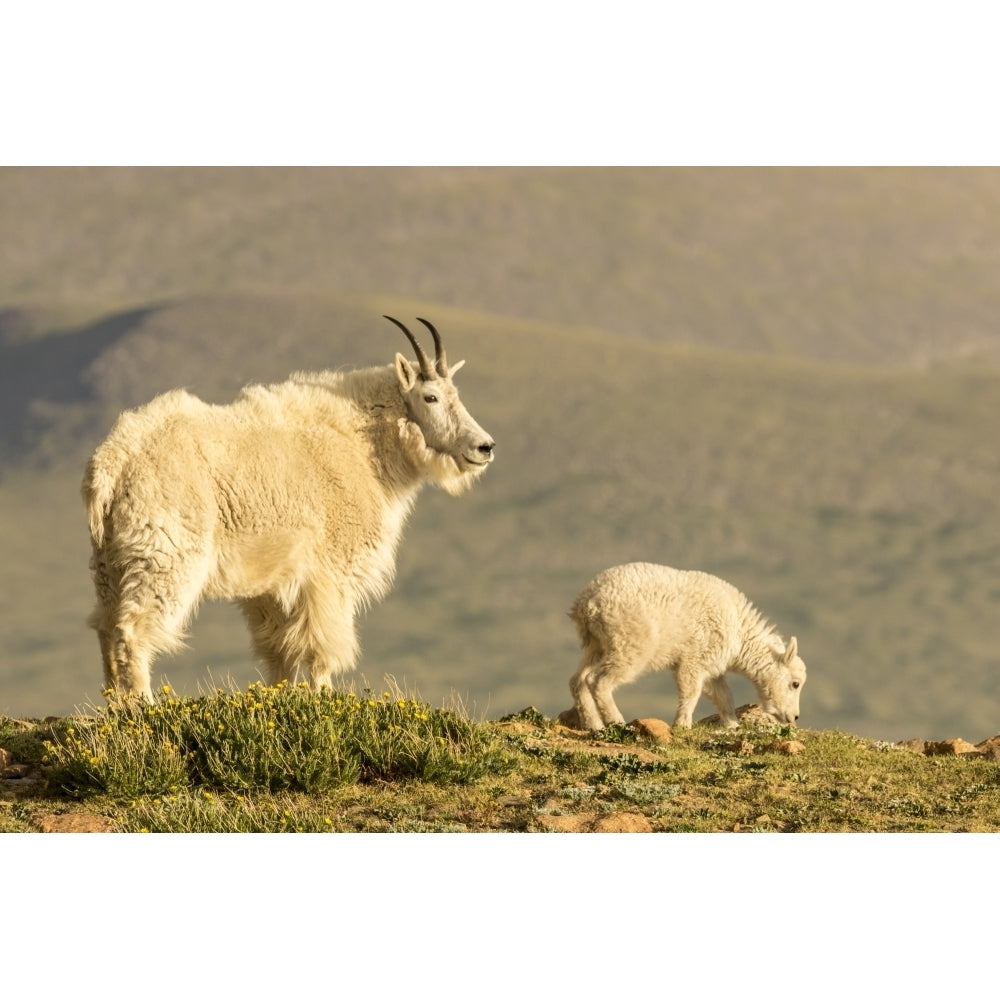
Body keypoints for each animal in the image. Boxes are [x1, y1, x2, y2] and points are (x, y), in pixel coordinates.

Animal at [85, 316, 496, 700]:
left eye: (455, 393)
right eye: (430, 397)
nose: (484, 447)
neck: (363, 444)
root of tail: (113, 463)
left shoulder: (272, 584)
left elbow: (278, 651)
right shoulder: (330, 571)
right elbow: (321, 646)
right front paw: (324, 698)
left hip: (111, 562)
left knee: (106, 626)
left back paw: (116, 706)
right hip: (165, 554)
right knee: (133, 629)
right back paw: (145, 705)